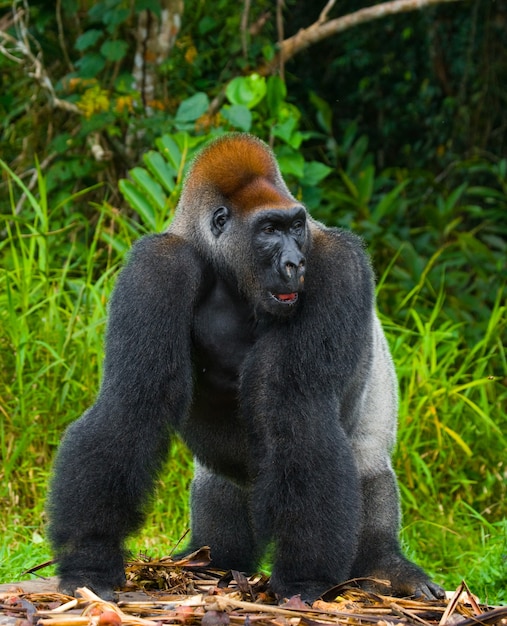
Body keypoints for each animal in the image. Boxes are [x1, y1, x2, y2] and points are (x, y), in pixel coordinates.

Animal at [47, 134, 444, 604]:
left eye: (295, 227)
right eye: (269, 230)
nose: (295, 264)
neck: (228, 271)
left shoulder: (337, 263)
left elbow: (295, 406)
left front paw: (305, 578)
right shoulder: (158, 264)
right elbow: (134, 399)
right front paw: (88, 557)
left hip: (381, 375)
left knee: (367, 459)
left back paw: (385, 565)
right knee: (220, 486)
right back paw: (209, 560)